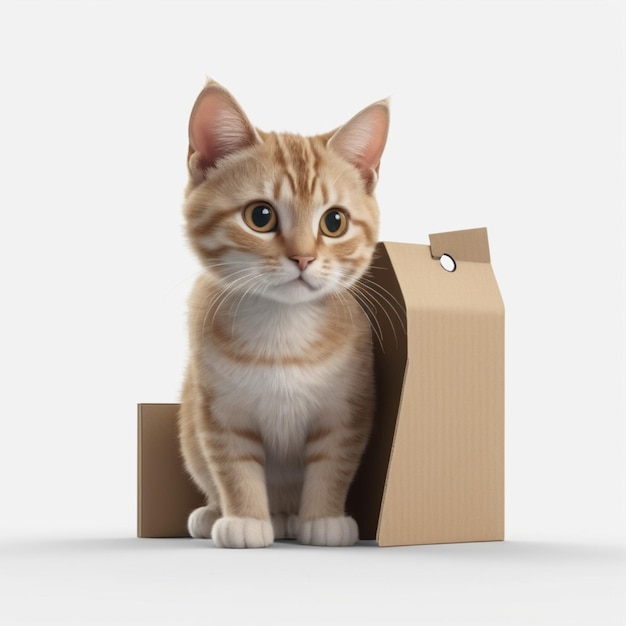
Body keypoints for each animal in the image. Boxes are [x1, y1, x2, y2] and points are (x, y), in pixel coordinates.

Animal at [178, 79, 388, 544]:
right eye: (260, 216)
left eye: (334, 222)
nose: (304, 258)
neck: (282, 329)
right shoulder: (217, 412)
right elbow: (233, 465)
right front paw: (245, 520)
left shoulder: (348, 408)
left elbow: (334, 462)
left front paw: (324, 519)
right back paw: (218, 515)